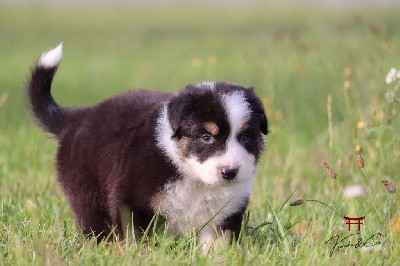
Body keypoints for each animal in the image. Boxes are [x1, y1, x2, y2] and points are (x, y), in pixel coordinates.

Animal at [28, 43, 268, 249]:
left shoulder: (225, 213)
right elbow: (138, 237)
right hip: (87, 191)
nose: (230, 172)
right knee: (95, 223)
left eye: (245, 137)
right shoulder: (132, 201)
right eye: (206, 137)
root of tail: (78, 117)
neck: (193, 178)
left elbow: (217, 245)